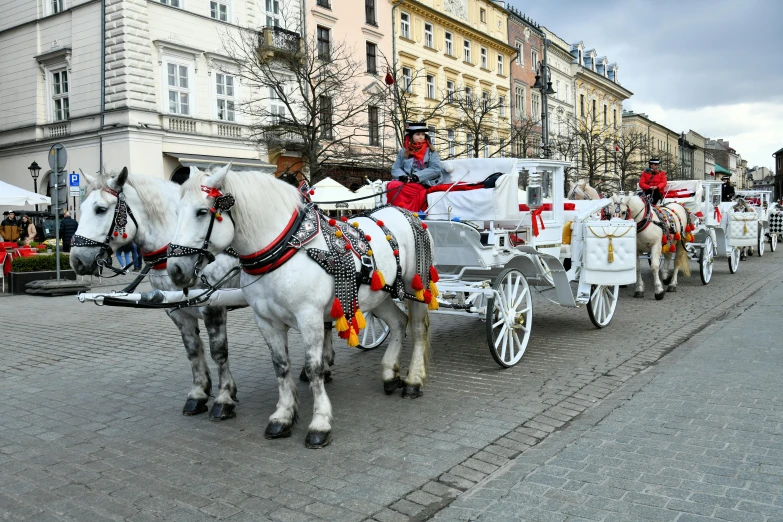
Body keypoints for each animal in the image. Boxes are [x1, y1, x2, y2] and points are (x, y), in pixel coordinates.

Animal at [70, 167, 242, 418]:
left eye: (100, 209)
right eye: (80, 207)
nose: (76, 260)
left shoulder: (213, 307)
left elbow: (219, 352)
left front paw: (225, 398)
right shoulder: (177, 310)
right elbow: (193, 350)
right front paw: (198, 394)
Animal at [168, 166, 434, 446]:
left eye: (202, 212)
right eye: (176, 212)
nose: (175, 270)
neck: (282, 250)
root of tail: (406, 213)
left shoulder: (310, 317)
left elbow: (314, 368)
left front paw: (320, 423)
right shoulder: (266, 321)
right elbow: (281, 366)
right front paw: (282, 416)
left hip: (416, 286)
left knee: (418, 329)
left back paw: (413, 381)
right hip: (379, 295)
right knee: (398, 323)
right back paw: (390, 374)